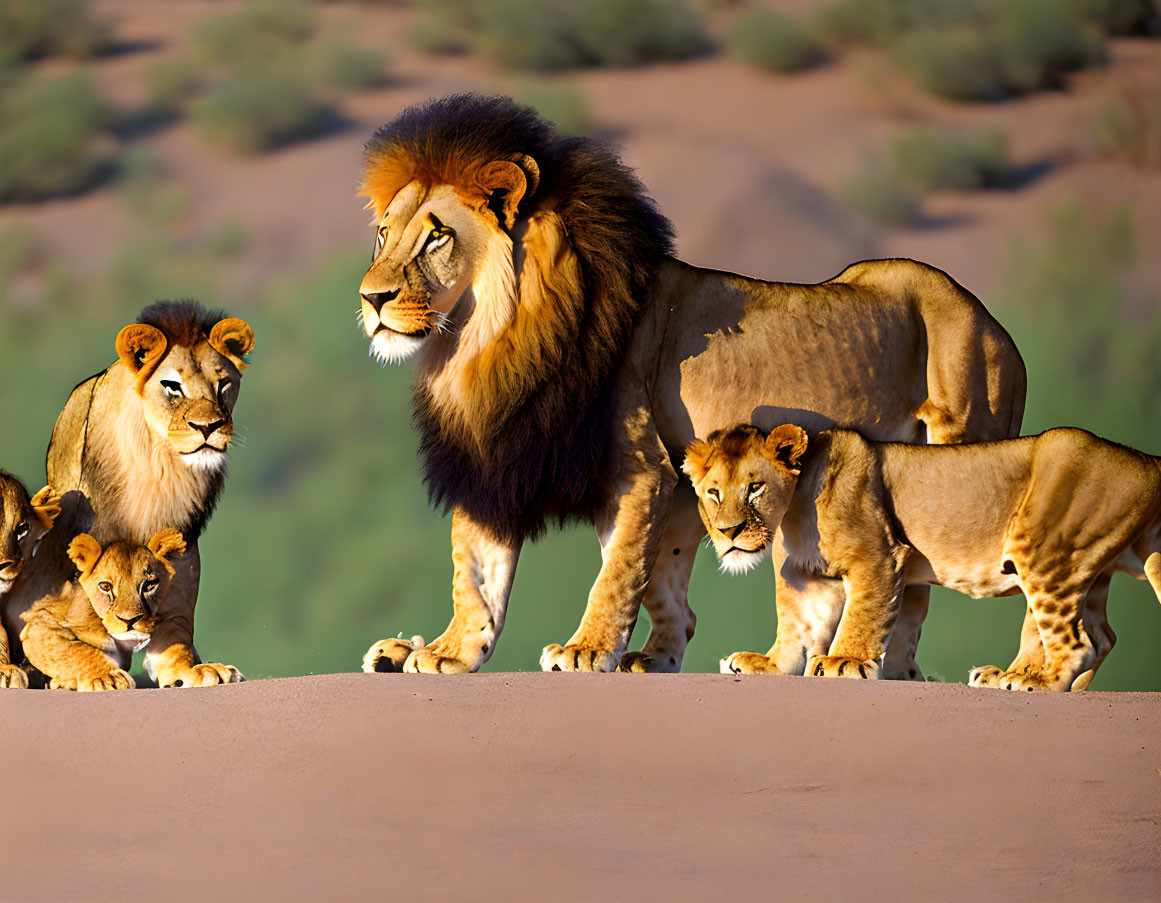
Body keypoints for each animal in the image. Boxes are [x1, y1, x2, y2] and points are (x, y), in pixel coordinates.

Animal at [20, 526, 185, 691]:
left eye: (150, 585)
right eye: (105, 586)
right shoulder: (37, 625)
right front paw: (109, 679)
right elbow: (78, 650)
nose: (129, 620)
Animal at [355, 96, 1026, 677]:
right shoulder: (505, 455)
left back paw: (899, 671)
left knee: (914, 588)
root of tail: (995, 326)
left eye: (437, 235)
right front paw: (450, 652)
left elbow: (616, 570)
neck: (487, 345)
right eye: (384, 234)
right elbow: (477, 571)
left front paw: (586, 649)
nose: (371, 298)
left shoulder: (638, 465)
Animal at [678, 422, 1161, 691]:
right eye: (713, 493)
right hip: (1092, 566)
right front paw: (769, 665)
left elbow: (863, 616)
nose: (728, 532)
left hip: (1046, 550)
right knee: (1101, 636)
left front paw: (843, 662)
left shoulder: (877, 553)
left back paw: (1033, 684)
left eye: (755, 487)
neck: (794, 511)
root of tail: (1148, 460)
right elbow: (799, 627)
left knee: (1079, 642)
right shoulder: (807, 577)